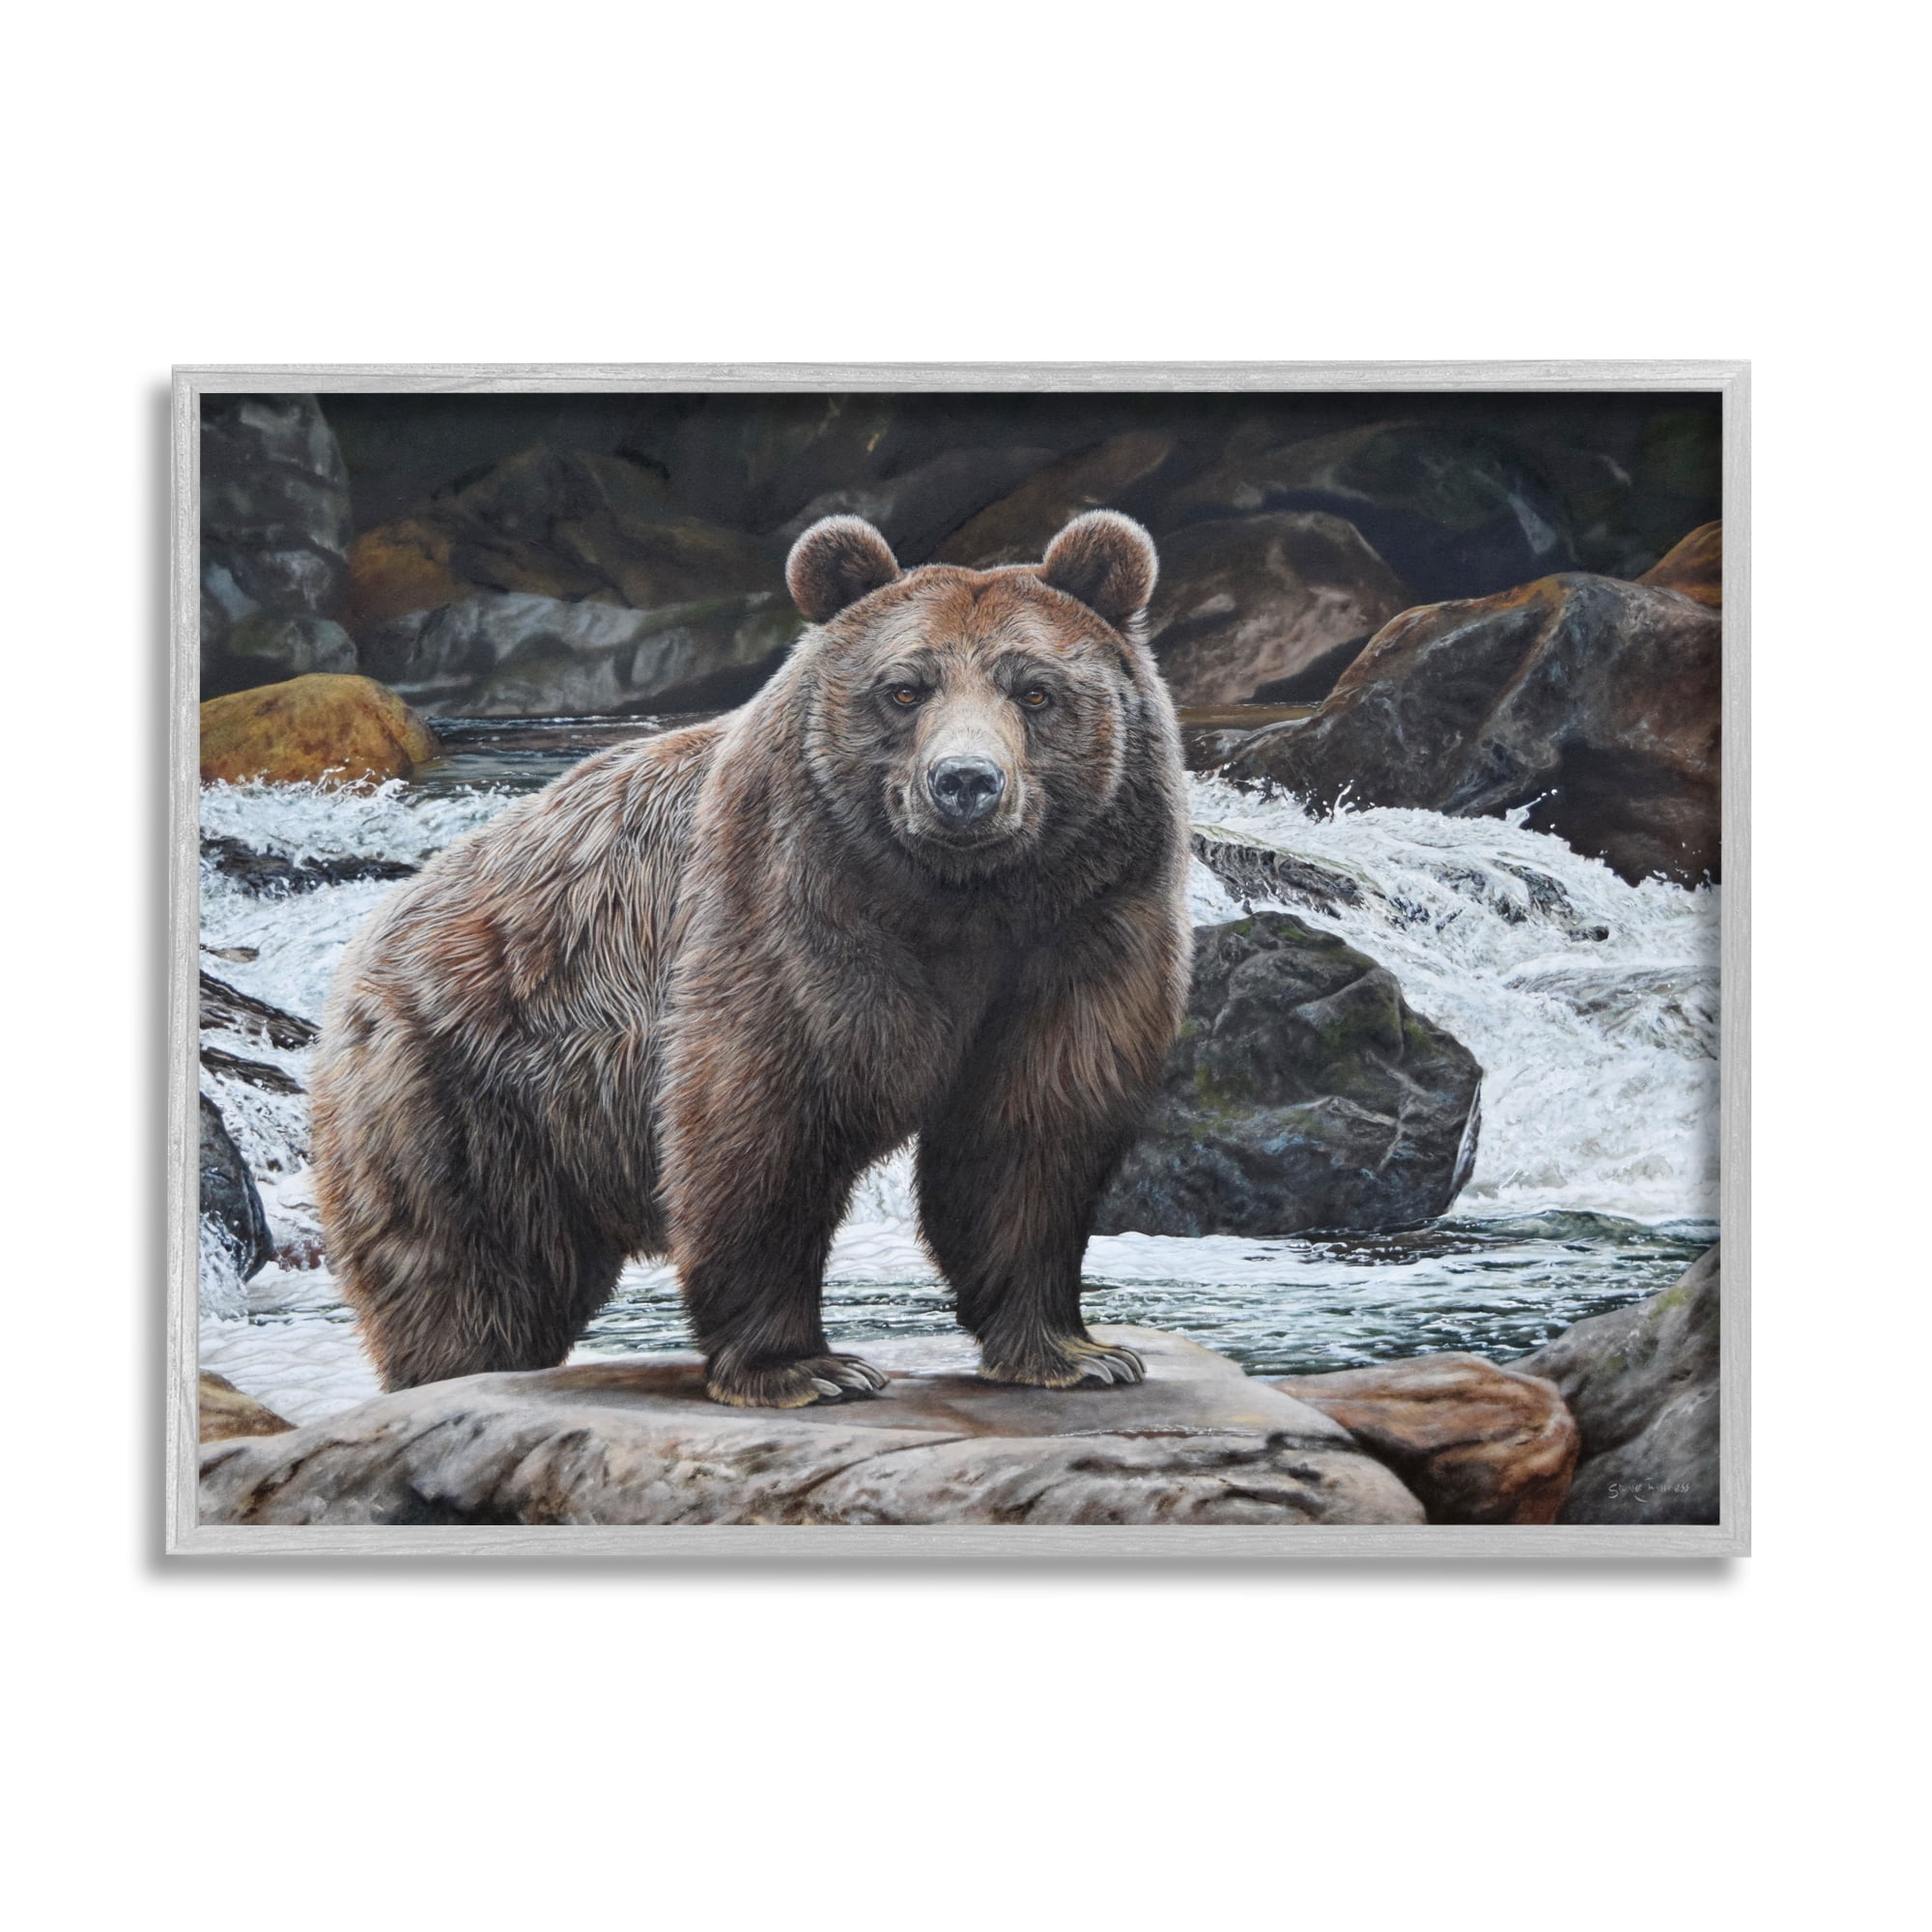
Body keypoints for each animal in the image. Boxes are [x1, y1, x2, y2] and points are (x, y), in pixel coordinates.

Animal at [311, 509, 1192, 1407]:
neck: (966, 900)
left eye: (1035, 690)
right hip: (467, 1087)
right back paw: (454, 1370)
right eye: (905, 689)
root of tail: (373, 939)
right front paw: (805, 1367)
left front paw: (1073, 1351)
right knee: (469, 1273)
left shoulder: (1085, 929)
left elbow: (1030, 1132)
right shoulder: (789, 906)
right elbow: (762, 1119)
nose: (966, 783)